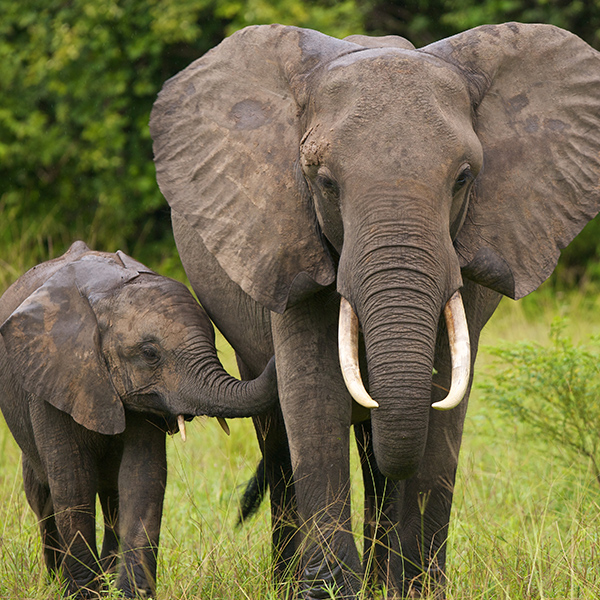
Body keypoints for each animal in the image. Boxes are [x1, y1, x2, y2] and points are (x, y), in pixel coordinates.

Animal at [0, 241, 276, 596]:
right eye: (149, 354)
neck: (108, 295)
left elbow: (142, 477)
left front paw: (129, 594)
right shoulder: (55, 378)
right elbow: (72, 483)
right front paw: (83, 594)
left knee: (112, 500)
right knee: (41, 497)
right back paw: (55, 581)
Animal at [150, 22, 600, 596]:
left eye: (463, 178)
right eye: (324, 182)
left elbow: (442, 399)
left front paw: (416, 591)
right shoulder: (288, 237)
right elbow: (314, 397)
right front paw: (328, 592)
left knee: (373, 451)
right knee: (279, 440)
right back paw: (290, 580)